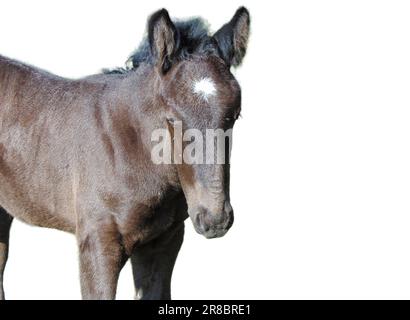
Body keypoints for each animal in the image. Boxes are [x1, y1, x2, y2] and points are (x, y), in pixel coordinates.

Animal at [0, 7, 250, 298]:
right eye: (171, 118)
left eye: (235, 115)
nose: (214, 219)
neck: (128, 145)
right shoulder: (98, 242)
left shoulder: (163, 241)